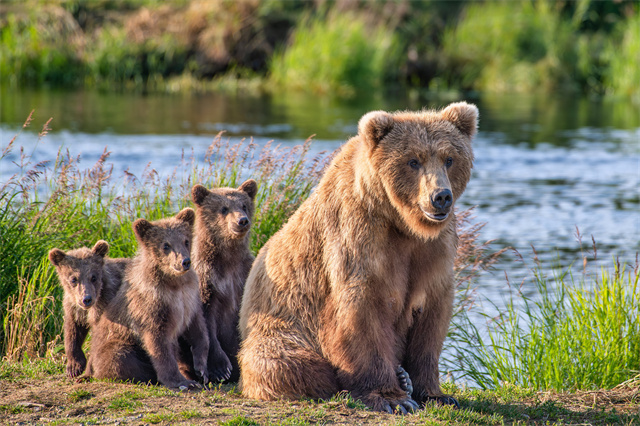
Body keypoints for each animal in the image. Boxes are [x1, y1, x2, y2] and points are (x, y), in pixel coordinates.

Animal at [238, 100, 478, 412]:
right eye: (413, 161)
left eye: (449, 158)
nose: (441, 197)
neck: (401, 222)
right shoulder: (359, 237)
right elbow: (360, 311)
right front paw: (392, 398)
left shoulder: (433, 251)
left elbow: (432, 318)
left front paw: (436, 393)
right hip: (279, 325)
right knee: (286, 363)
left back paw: (404, 378)